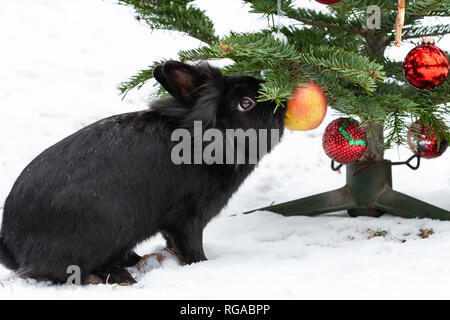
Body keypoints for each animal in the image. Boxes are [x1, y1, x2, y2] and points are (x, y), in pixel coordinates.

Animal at [0, 61, 284, 284]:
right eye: (246, 103)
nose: (281, 104)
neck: (213, 138)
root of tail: (13, 249)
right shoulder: (188, 217)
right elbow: (190, 245)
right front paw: (203, 264)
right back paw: (116, 276)